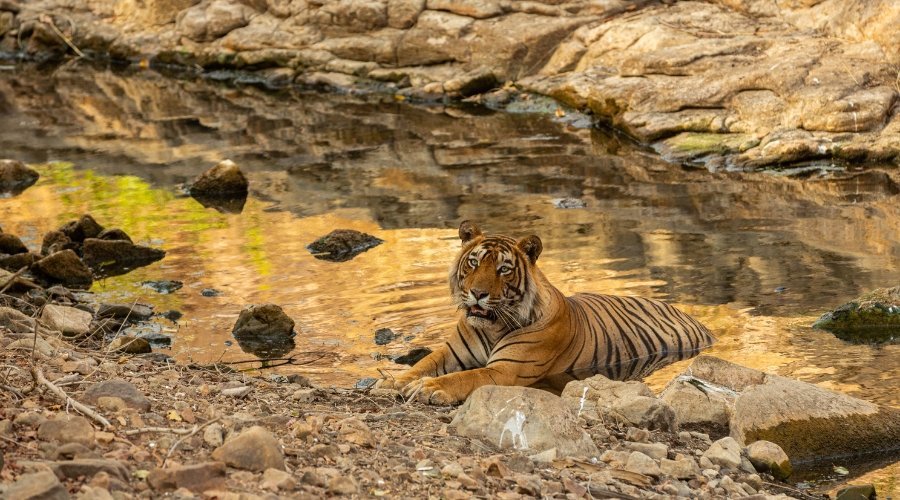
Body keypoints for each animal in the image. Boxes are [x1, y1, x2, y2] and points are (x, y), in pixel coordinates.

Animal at [375, 220, 715, 405]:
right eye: (473, 262)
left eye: (503, 269)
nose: (478, 293)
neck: (492, 326)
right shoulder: (450, 352)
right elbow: (421, 364)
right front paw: (392, 382)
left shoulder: (504, 371)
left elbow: (465, 377)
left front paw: (430, 388)